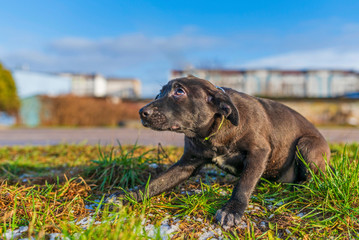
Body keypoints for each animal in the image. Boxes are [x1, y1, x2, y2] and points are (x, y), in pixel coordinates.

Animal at [107, 76, 332, 228]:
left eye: (179, 92)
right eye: (158, 94)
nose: (141, 113)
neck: (214, 130)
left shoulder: (259, 152)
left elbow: (243, 184)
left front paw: (232, 209)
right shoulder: (186, 163)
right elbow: (155, 183)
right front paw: (126, 197)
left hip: (306, 145)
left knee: (314, 178)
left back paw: (301, 188)